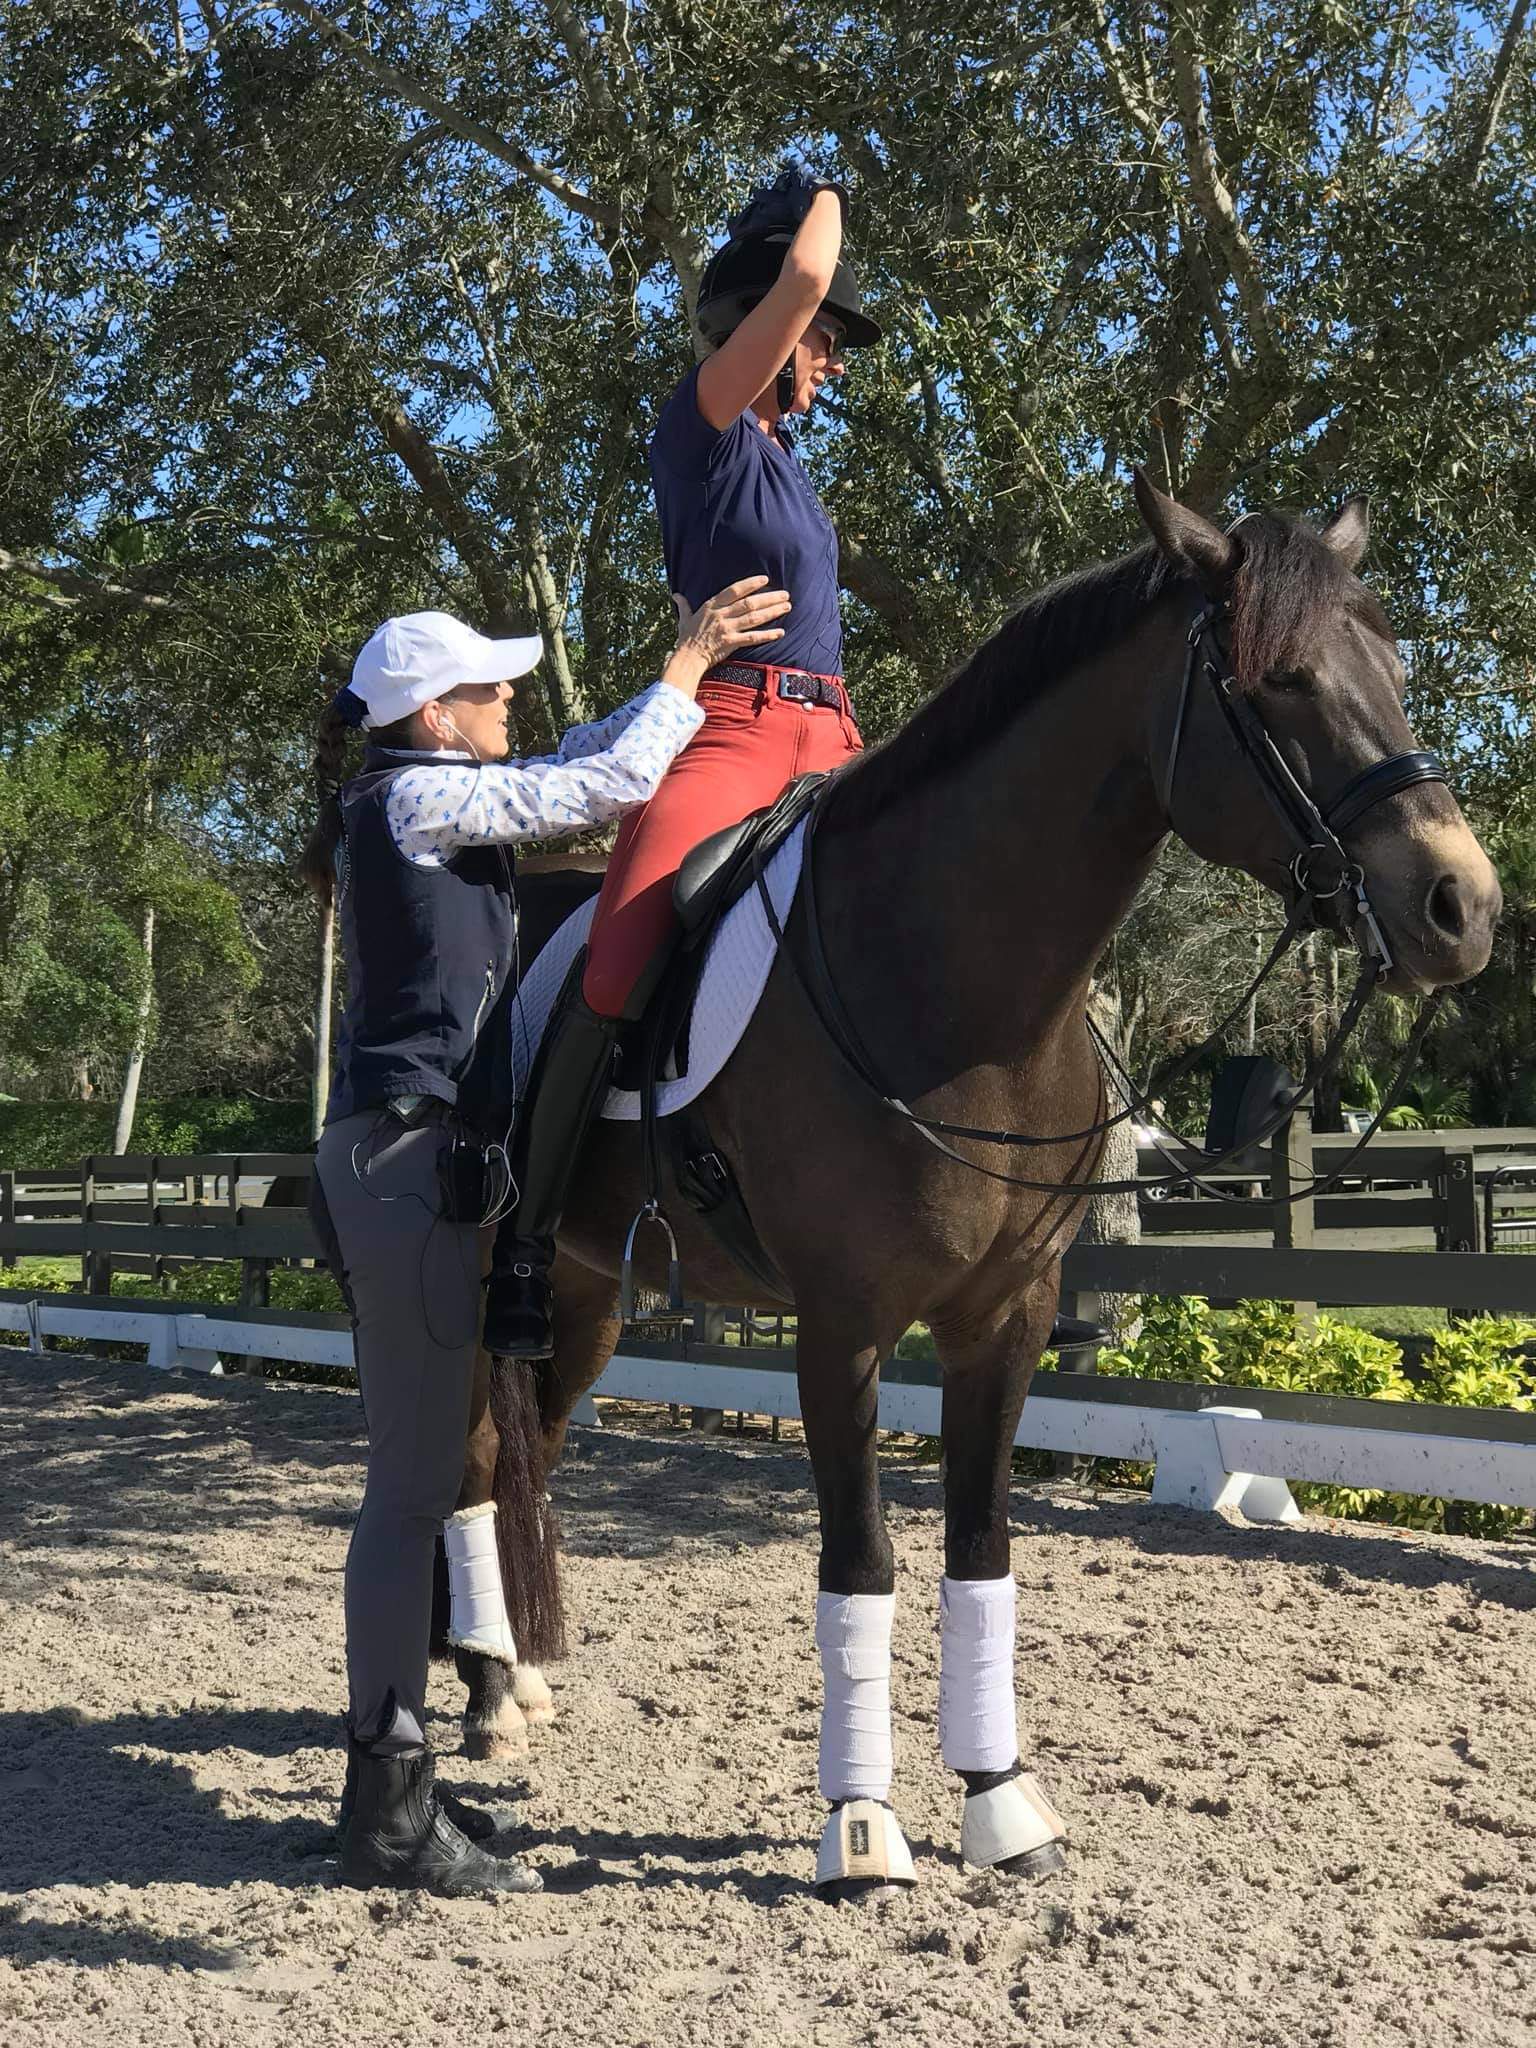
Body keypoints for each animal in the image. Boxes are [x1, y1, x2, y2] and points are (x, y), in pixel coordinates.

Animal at [455, 476, 1501, 1898]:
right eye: (1280, 679)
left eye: (1390, 669)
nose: (1464, 906)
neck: (953, 981)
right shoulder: (842, 1326)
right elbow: (862, 1558)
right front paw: (859, 1824)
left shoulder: (1004, 1318)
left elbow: (981, 1549)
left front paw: (1001, 1801)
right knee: (470, 1452)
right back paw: (480, 1694)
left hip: (585, 1295)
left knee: (531, 1445)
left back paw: (512, 1682)